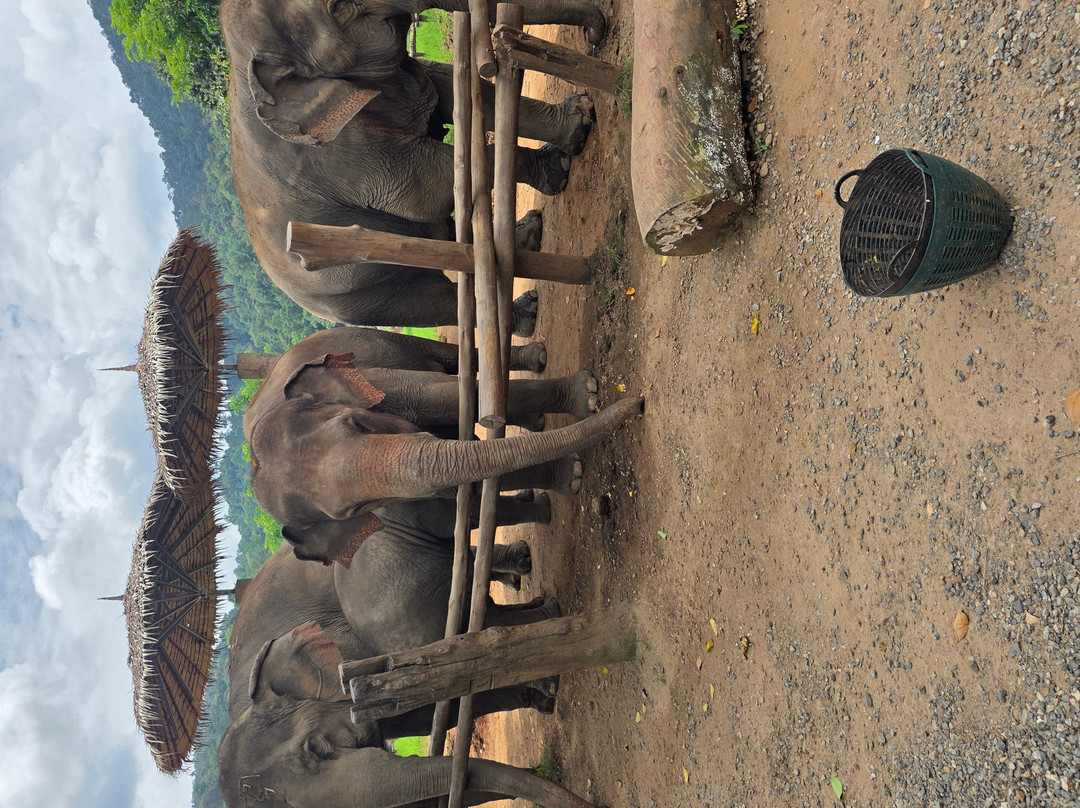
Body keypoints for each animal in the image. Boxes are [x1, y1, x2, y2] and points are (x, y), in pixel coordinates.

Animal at [219, 0, 607, 330]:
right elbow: (427, 189)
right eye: (339, 7)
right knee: (437, 302)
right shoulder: (338, 155)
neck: (239, 68)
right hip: (358, 298)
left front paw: (578, 122)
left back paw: (528, 235)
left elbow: (455, 90)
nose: (596, 35)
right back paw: (526, 314)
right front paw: (562, 161)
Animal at [220, 497, 595, 808]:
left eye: (315, 748)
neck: (244, 703)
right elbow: (426, 714)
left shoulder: (347, 645)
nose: (542, 770)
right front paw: (543, 698)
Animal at [243, 326, 643, 566]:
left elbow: (446, 395)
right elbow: (461, 491)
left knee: (448, 358)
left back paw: (538, 360)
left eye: (355, 423)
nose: (638, 403)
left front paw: (586, 396)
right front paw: (571, 475)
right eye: (357, 509)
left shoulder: (376, 379)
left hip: (372, 338)